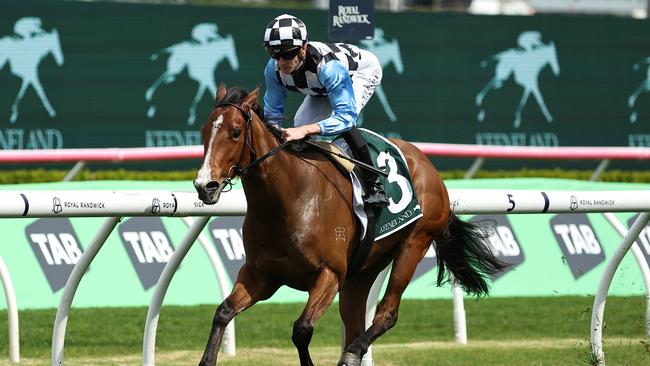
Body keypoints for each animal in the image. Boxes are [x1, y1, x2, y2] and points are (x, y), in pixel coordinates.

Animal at [190, 86, 504, 366]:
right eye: (204, 132)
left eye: (235, 132)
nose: (205, 186)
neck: (288, 198)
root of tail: (427, 165)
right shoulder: (261, 275)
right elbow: (223, 311)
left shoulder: (329, 273)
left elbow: (301, 329)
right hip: (363, 271)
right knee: (355, 320)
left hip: (414, 243)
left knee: (386, 313)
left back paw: (353, 351)